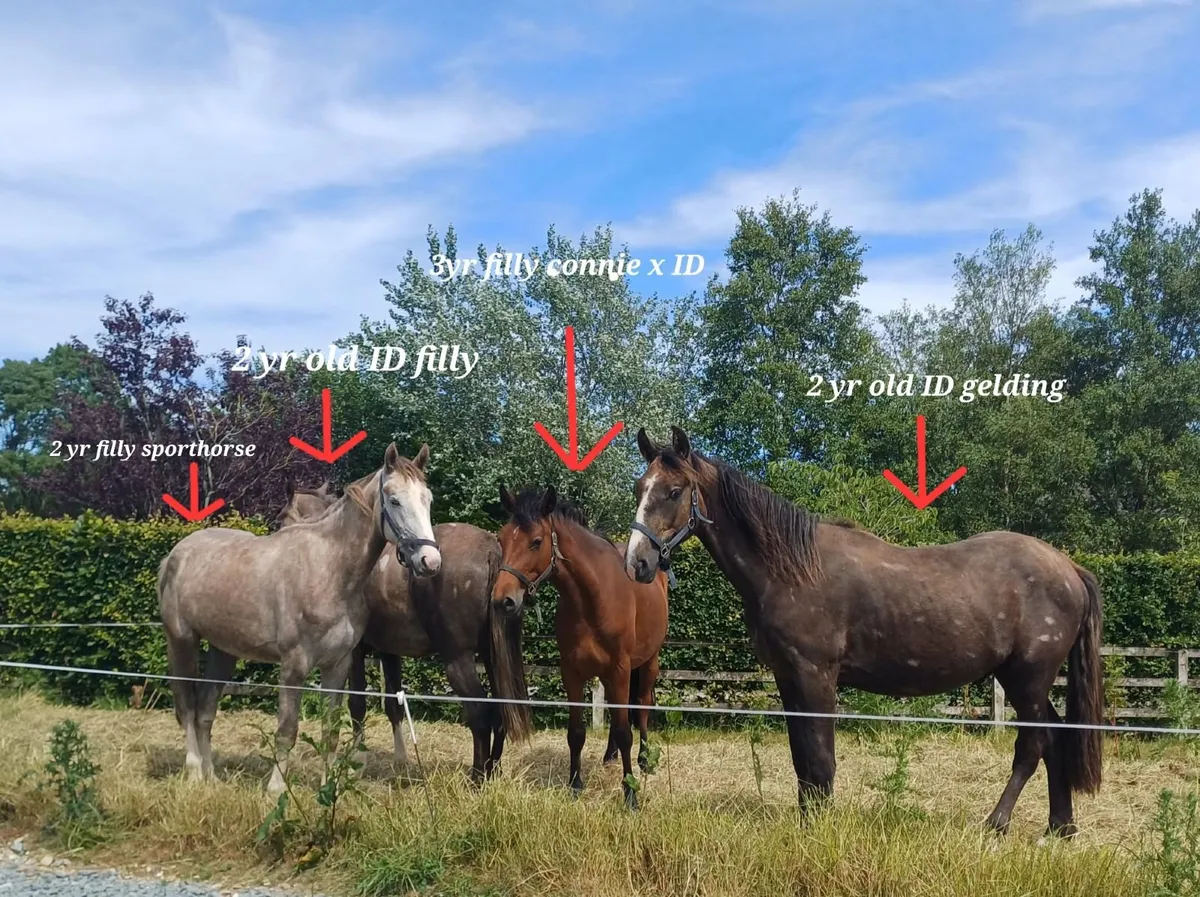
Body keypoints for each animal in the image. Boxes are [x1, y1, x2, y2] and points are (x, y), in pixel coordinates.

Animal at [158, 442, 442, 795]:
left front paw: (328, 787)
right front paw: (277, 787)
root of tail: (174, 556)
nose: (430, 561)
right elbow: (287, 728)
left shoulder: (338, 665)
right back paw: (196, 772)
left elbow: (330, 730)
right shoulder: (294, 665)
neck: (330, 570)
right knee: (186, 706)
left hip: (223, 651)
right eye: (394, 500)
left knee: (205, 712)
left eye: (427, 498)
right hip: (181, 641)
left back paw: (212, 776)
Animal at [275, 481, 531, 782]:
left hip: (458, 660)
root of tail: (490, 550)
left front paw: (358, 760)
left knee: (480, 712)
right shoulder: (389, 653)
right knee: (500, 710)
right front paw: (401, 759)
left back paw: (477, 777)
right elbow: (394, 705)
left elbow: (357, 705)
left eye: (281, 518)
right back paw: (492, 771)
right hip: (492, 658)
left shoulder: (354, 653)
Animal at [492, 484, 669, 809]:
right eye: (501, 538)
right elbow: (576, 732)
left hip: (648, 662)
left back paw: (644, 759)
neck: (592, 598)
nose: (503, 600)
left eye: (536, 542)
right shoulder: (572, 672)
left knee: (642, 706)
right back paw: (610, 756)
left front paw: (631, 795)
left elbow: (625, 730)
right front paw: (575, 785)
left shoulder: (620, 669)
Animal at [624, 426, 1104, 837]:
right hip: (1023, 680)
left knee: (1033, 744)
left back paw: (997, 824)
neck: (791, 570)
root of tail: (1069, 568)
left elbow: (821, 760)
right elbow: (802, 759)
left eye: (674, 491)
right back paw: (1060, 828)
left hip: (1029, 678)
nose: (637, 563)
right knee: (1056, 739)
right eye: (638, 488)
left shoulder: (816, 676)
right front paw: (807, 822)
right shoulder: (789, 678)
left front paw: (820, 828)